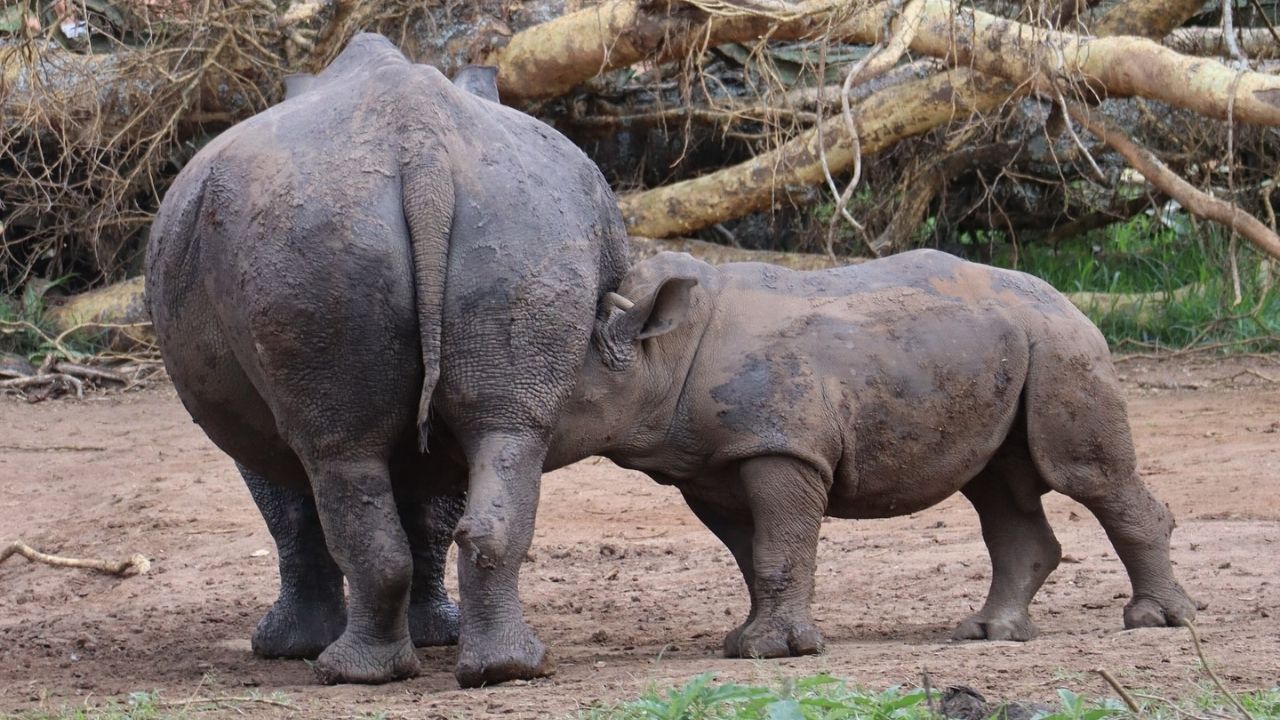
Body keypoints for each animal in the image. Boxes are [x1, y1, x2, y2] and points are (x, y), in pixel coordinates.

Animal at [146, 33, 628, 686]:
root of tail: (421, 150)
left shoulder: (251, 420)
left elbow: (289, 516)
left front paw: (280, 647)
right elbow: (432, 511)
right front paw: (436, 637)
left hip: (309, 241)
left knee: (337, 452)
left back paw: (347, 672)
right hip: (524, 223)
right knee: (508, 431)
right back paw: (507, 669)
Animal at [541, 249, 1196, 657]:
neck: (660, 354)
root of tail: (1070, 304)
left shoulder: (783, 447)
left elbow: (778, 546)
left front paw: (774, 652)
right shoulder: (711, 464)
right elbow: (753, 555)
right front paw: (748, 641)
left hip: (1061, 345)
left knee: (1086, 476)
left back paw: (1158, 622)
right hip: (1004, 350)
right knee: (995, 485)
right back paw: (989, 633)